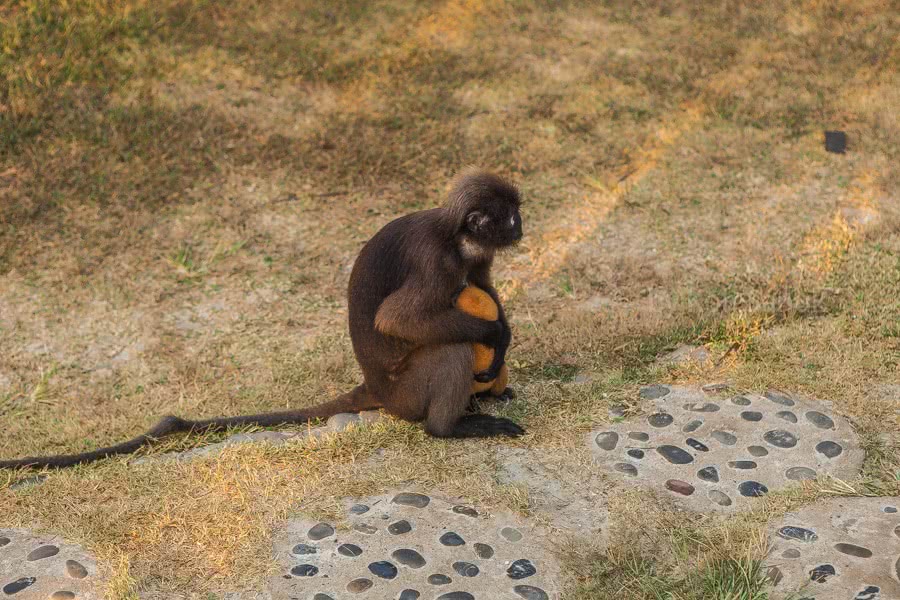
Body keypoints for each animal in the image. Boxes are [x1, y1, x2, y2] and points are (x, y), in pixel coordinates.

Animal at [0, 168, 524, 468]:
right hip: (408, 391)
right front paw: (495, 334)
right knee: (451, 348)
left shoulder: (472, 258)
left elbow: (484, 288)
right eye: (513, 217)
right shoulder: (436, 263)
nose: (525, 226)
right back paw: (448, 427)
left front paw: (505, 335)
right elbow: (399, 321)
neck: (456, 238)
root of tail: (374, 387)